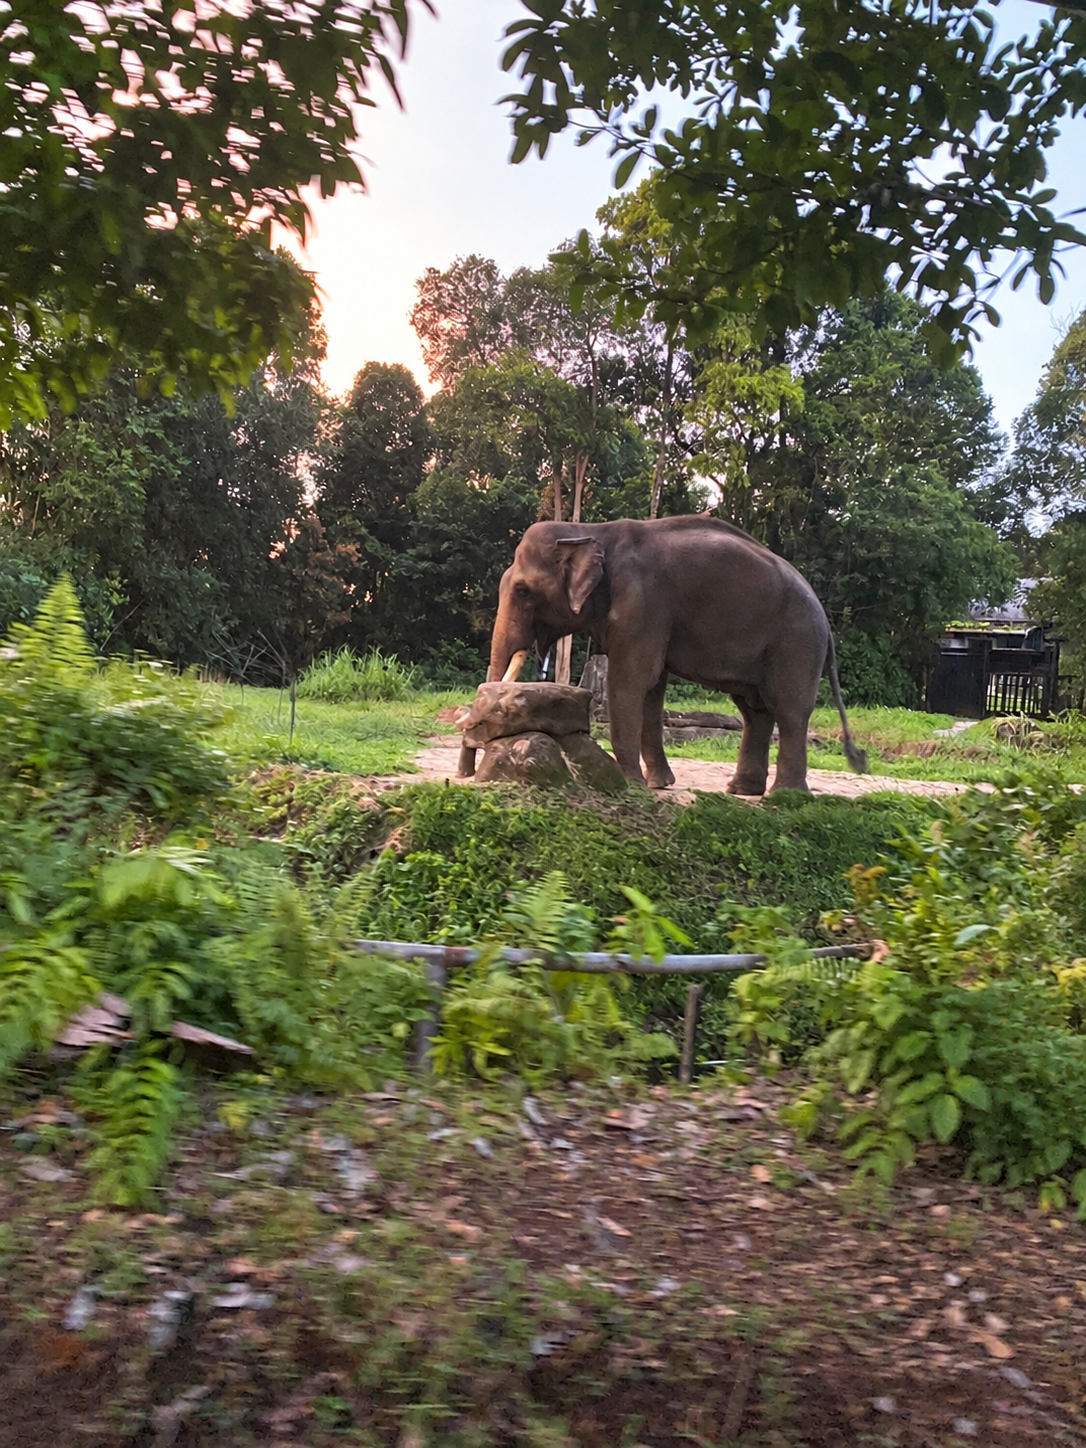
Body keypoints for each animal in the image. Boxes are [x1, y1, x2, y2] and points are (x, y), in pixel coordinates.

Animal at [485, 515, 867, 794]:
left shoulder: (643, 605)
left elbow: (630, 681)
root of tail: (824, 617)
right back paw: (742, 791)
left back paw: (784, 798)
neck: (589, 530)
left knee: (788, 709)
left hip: (797, 640)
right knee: (755, 709)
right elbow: (651, 690)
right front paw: (657, 785)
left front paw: (631, 785)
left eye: (523, 591)